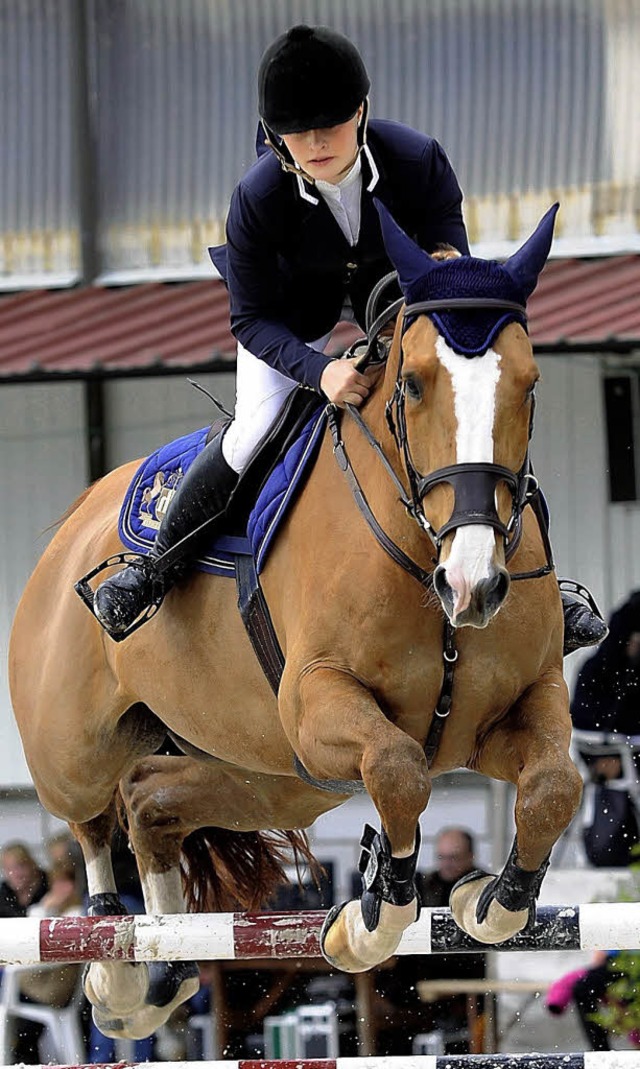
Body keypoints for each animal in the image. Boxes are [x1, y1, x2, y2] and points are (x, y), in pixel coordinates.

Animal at [6, 198, 585, 1034]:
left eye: (532, 385)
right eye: (413, 385)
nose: (472, 584)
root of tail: (69, 527)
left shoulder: (517, 704)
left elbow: (552, 789)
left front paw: (488, 902)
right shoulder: (317, 700)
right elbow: (398, 769)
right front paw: (371, 919)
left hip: (275, 775)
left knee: (149, 802)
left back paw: (164, 965)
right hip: (78, 744)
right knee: (90, 816)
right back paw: (117, 973)